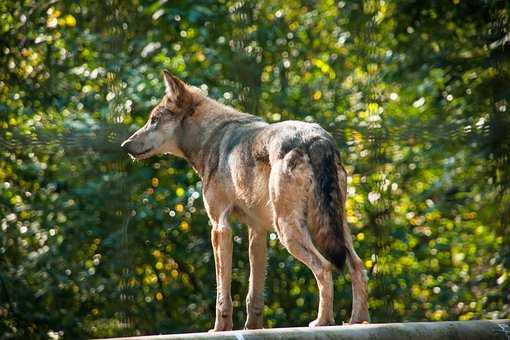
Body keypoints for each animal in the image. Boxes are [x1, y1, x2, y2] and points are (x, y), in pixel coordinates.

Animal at [121, 70, 368, 330]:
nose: (125, 145)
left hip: (288, 230)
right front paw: (252, 328)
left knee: (324, 267)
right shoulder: (258, 231)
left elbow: (222, 292)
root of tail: (317, 139)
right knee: (357, 266)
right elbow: (254, 293)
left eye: (154, 120)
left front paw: (219, 329)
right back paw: (358, 321)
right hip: (334, 226)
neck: (211, 138)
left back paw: (323, 321)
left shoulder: (219, 227)